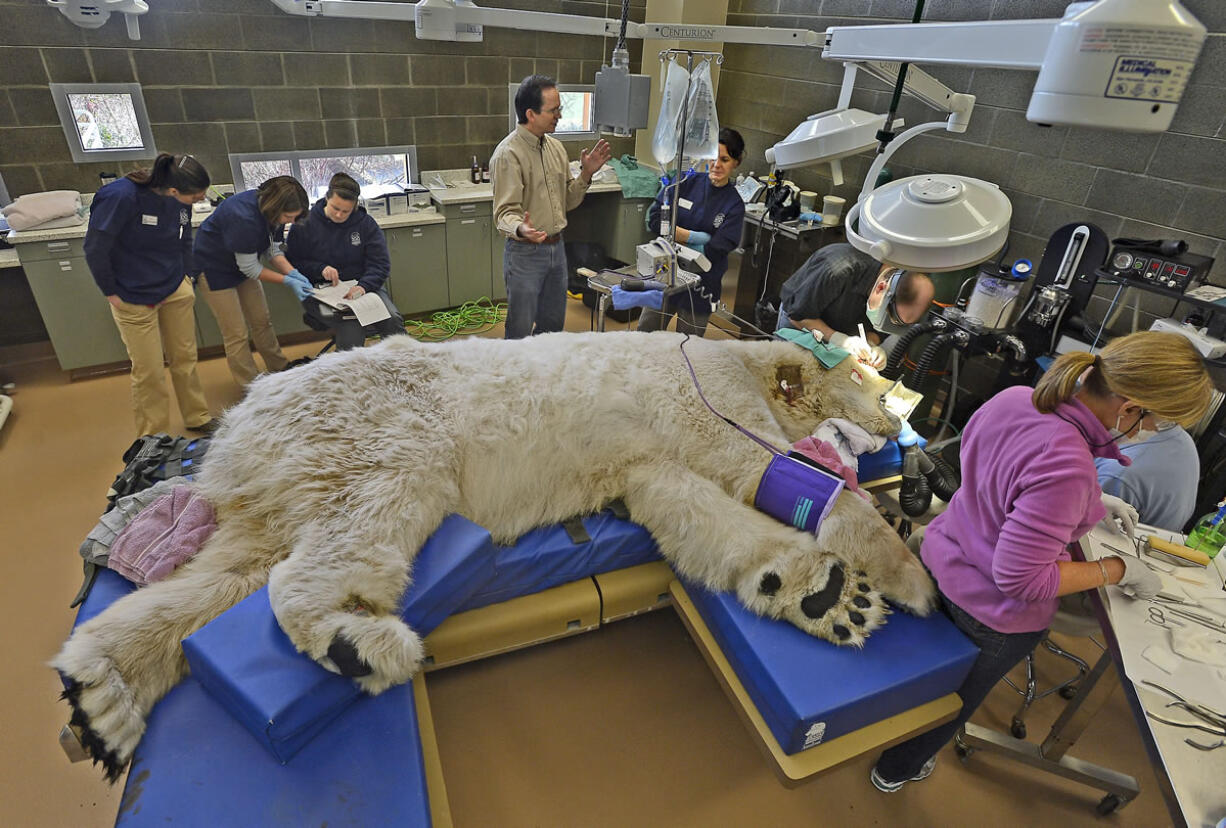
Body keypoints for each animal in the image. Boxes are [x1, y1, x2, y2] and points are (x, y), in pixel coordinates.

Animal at [52, 328, 931, 775]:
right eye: (865, 376)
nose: (900, 420)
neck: (737, 354)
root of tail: (238, 424)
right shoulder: (705, 392)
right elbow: (766, 471)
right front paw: (905, 577)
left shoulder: (649, 458)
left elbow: (690, 510)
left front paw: (827, 595)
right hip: (374, 433)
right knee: (343, 535)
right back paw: (357, 643)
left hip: (277, 484)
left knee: (224, 575)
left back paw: (99, 701)